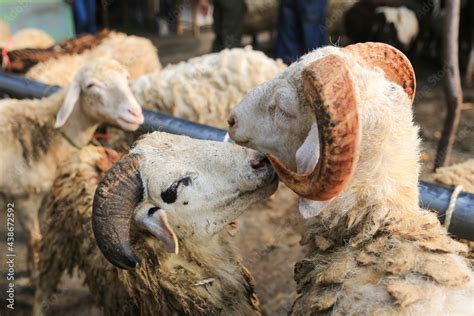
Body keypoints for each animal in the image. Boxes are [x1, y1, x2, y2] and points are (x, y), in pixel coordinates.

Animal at [0, 57, 144, 282]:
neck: (51, 133)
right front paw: (35, 276)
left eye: (126, 77)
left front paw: (31, 270)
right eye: (91, 85)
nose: (135, 113)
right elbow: (35, 239)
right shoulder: (24, 197)